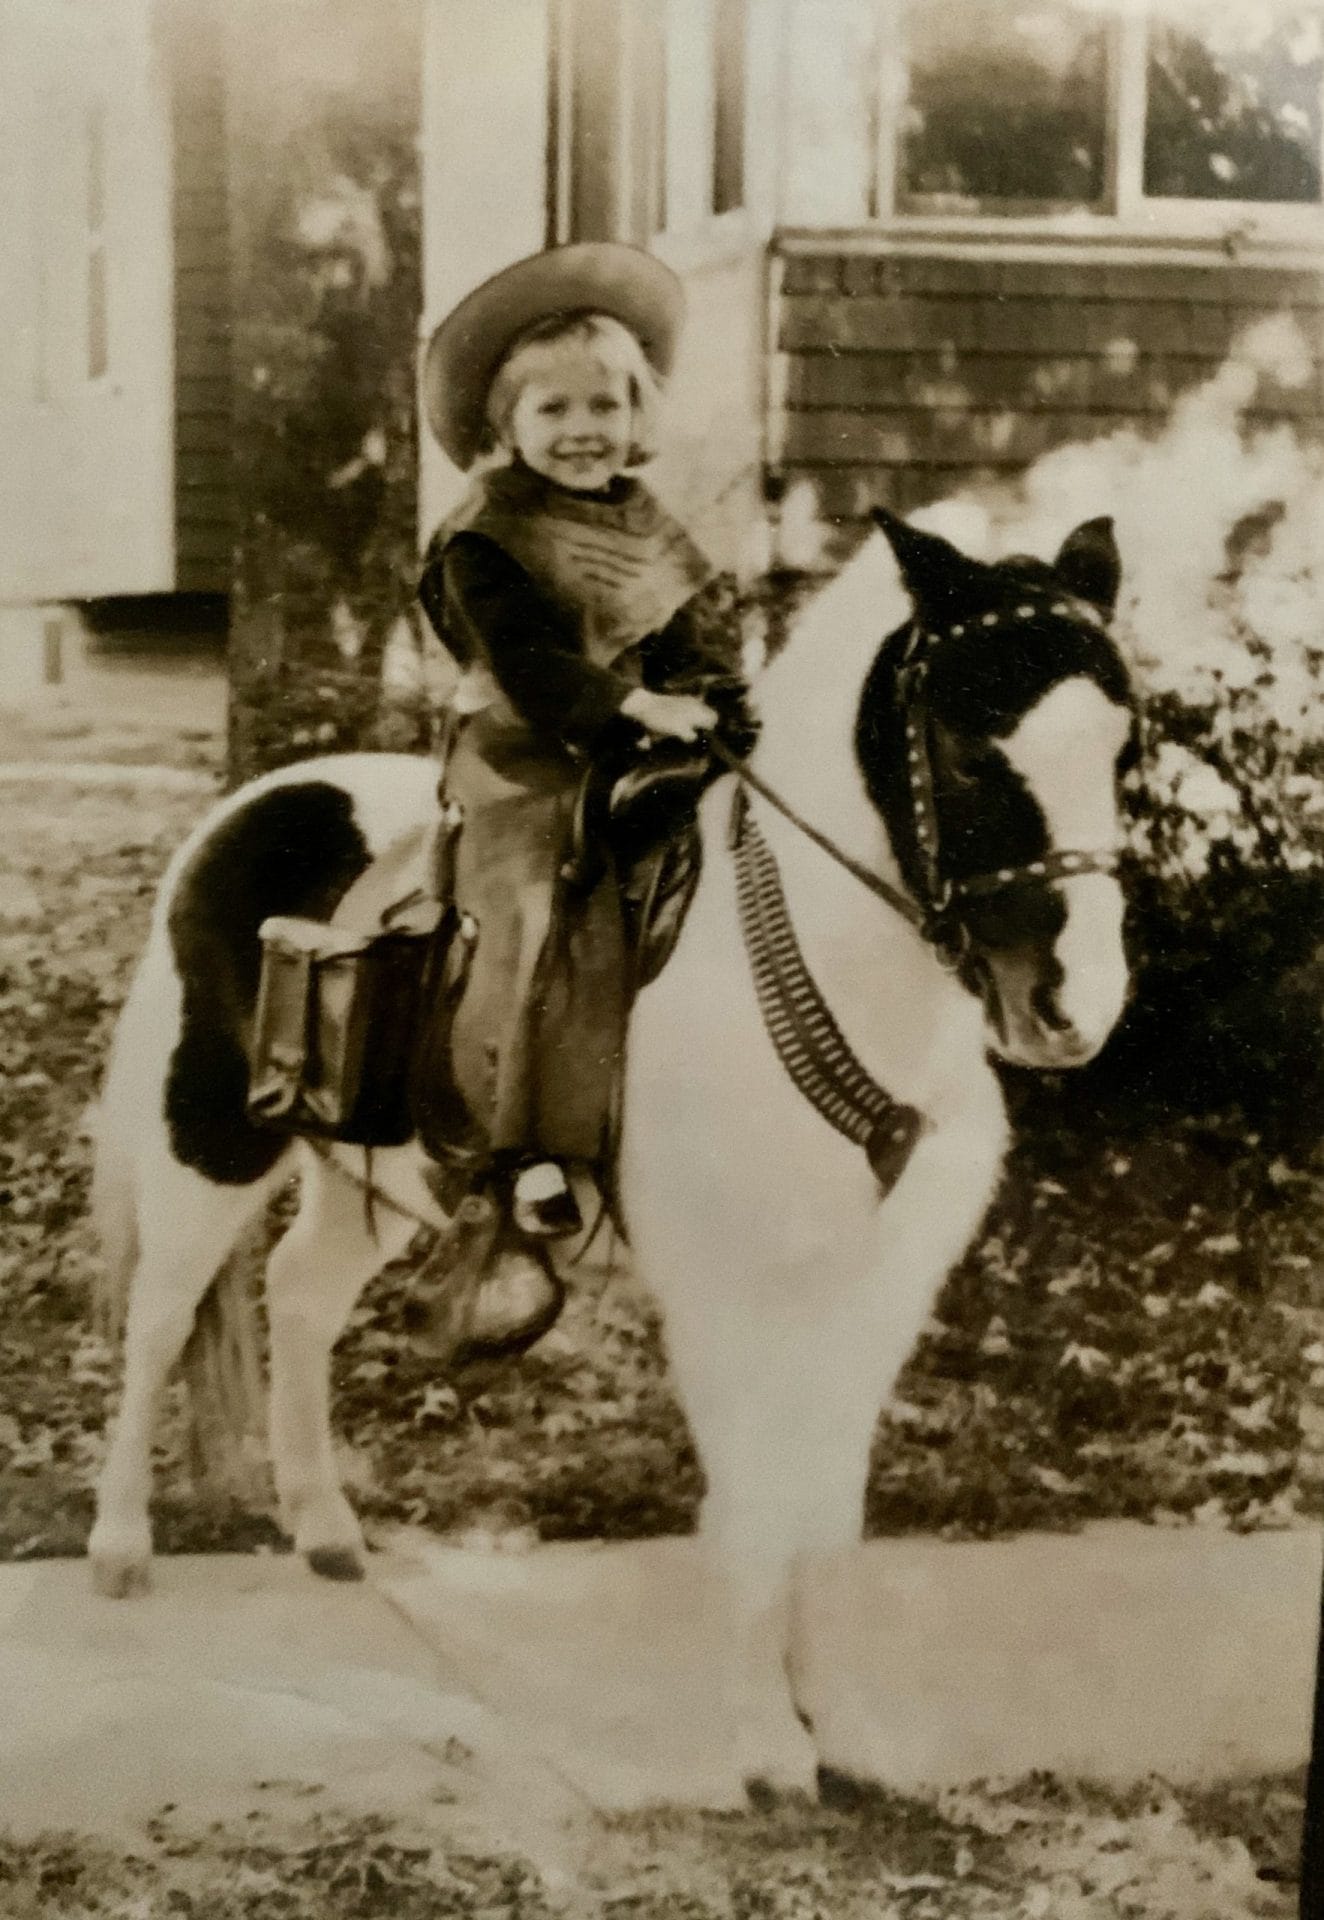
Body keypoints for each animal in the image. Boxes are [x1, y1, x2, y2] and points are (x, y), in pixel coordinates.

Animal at [87, 506, 1128, 1797]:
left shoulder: (873, 1296)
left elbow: (827, 1511)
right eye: (972, 748)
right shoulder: (726, 1295)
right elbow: (754, 1506)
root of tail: (251, 803)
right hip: (208, 1140)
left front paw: (847, 1735)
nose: (1072, 1004)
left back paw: (324, 1529)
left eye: (1122, 749)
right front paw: (764, 1749)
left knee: (299, 1291)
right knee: (161, 1316)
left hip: (370, 1167)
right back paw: (121, 1545)